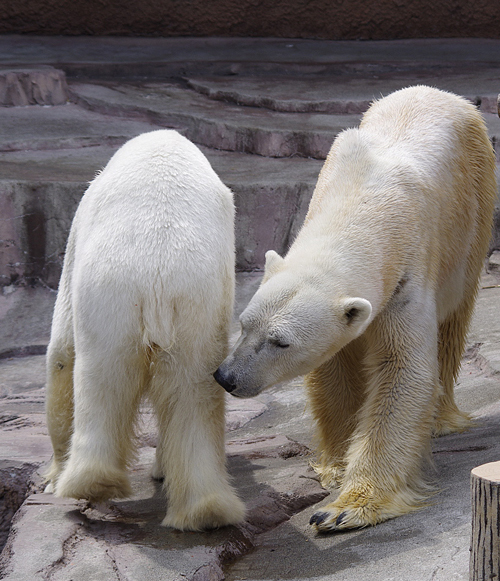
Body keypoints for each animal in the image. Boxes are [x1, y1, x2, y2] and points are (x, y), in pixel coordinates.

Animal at [46, 130, 245, 532]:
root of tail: (158, 271)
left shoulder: (77, 234)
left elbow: (60, 355)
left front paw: (51, 476)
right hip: (199, 306)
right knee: (194, 390)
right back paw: (206, 510)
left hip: (111, 295)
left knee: (99, 378)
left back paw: (89, 483)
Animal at [214, 85, 496, 532]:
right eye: (243, 325)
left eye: (280, 342)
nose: (227, 378)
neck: (362, 198)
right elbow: (336, 366)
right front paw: (336, 467)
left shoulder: (408, 273)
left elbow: (403, 369)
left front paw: (344, 508)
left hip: (474, 207)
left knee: (453, 319)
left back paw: (441, 417)